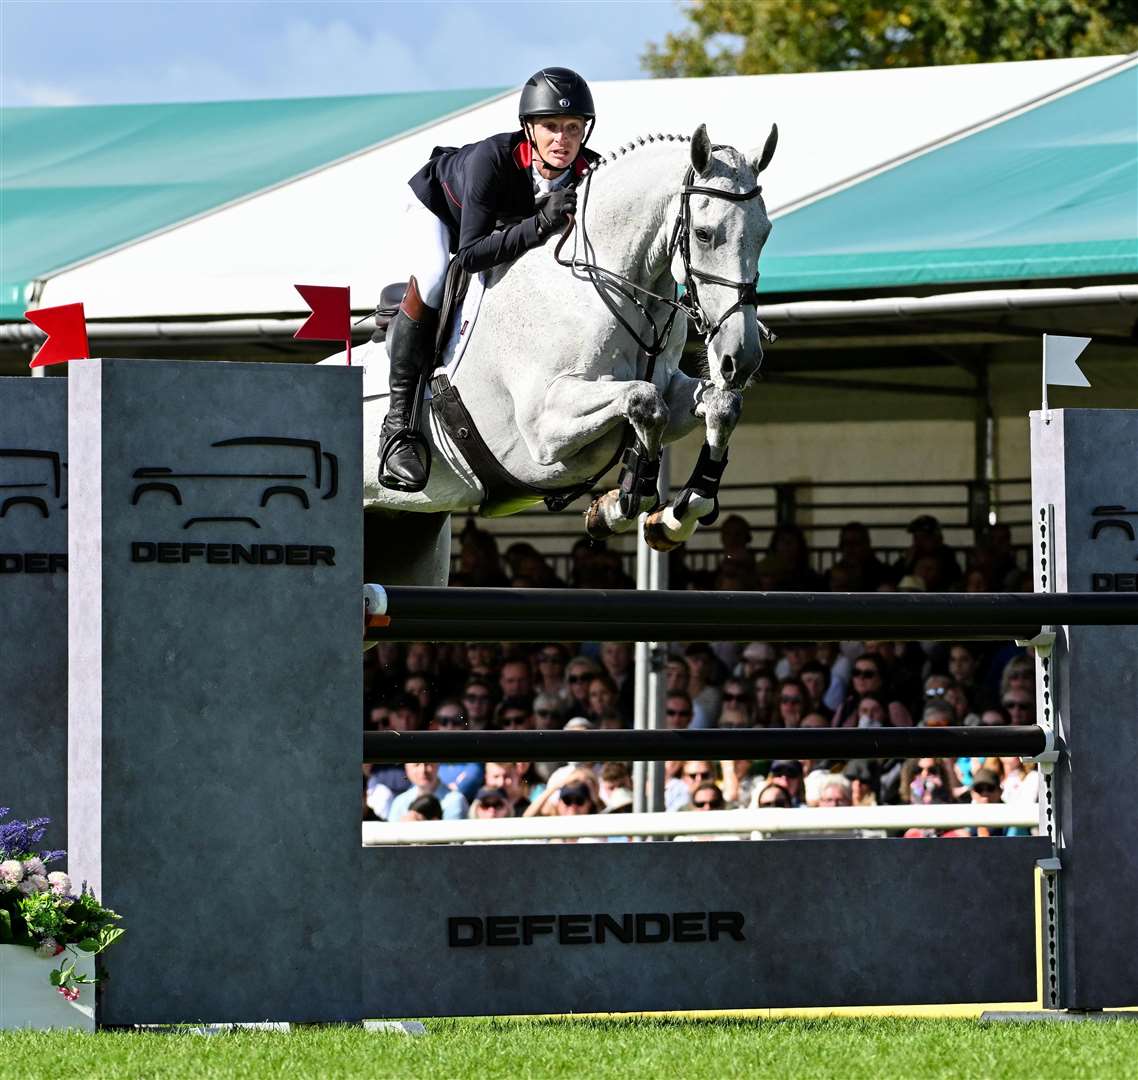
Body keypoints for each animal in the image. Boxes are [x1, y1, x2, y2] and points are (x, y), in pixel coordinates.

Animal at [325, 122, 778, 587]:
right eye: (704, 234)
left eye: (765, 233)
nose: (741, 358)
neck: (603, 285)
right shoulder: (543, 431)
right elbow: (644, 402)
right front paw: (624, 500)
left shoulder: (671, 385)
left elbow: (720, 405)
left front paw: (677, 512)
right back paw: (403, 455)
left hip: (409, 531)